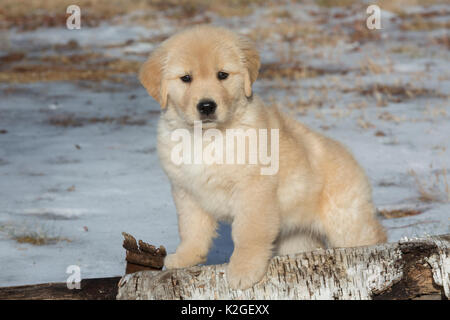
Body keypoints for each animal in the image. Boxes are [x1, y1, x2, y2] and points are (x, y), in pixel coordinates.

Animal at [139, 25, 384, 290]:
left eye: (222, 75)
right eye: (186, 78)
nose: (206, 106)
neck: (207, 138)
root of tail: (350, 157)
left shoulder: (254, 190)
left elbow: (248, 233)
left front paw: (244, 270)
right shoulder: (186, 192)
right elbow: (191, 230)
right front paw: (184, 258)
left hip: (346, 221)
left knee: (372, 235)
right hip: (296, 237)